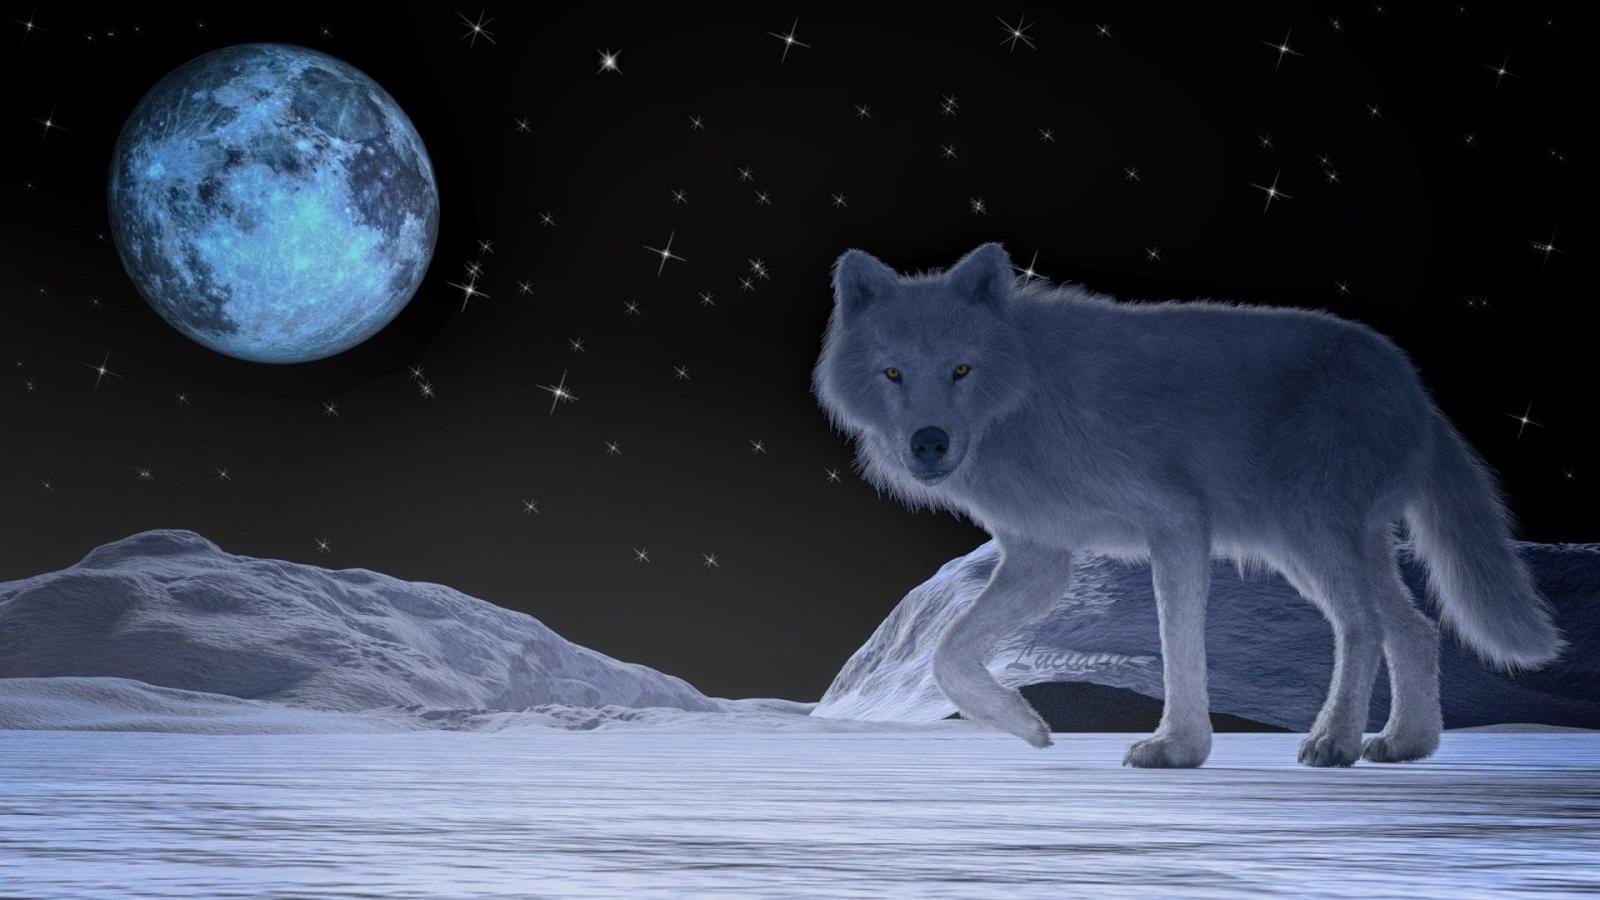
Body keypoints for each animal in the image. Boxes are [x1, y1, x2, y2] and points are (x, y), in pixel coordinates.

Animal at [812, 242, 1563, 768]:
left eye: (961, 369)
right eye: (892, 372)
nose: (929, 443)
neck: (1028, 399)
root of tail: (1415, 387)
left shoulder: (1175, 523)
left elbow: (1177, 644)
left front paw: (1177, 748)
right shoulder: (1041, 559)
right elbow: (948, 653)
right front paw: (1027, 724)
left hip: (1308, 539)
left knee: (1365, 629)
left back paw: (1334, 743)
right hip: (1323, 547)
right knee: (1416, 629)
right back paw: (1404, 744)